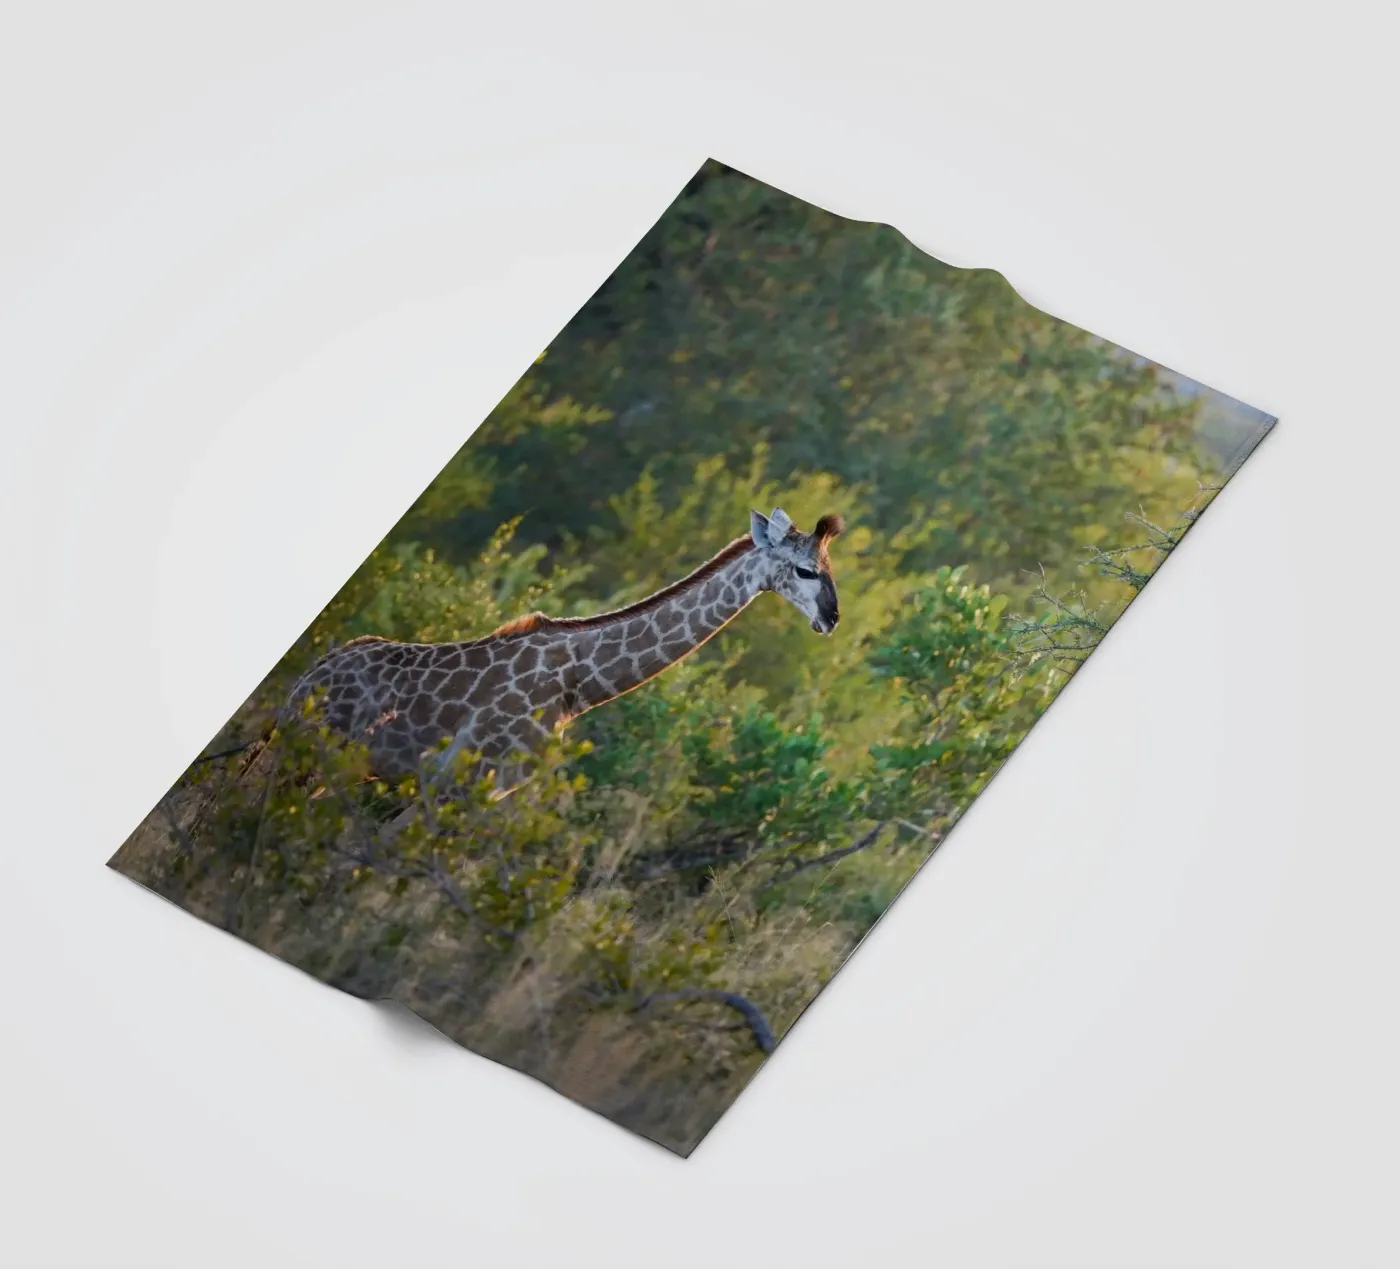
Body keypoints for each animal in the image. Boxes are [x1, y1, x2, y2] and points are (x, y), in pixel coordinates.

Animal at [282, 507, 844, 793]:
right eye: (805, 570)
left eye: (829, 568)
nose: (832, 618)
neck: (578, 683)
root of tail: (307, 677)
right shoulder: (459, 780)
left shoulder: (488, 788)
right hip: (307, 750)